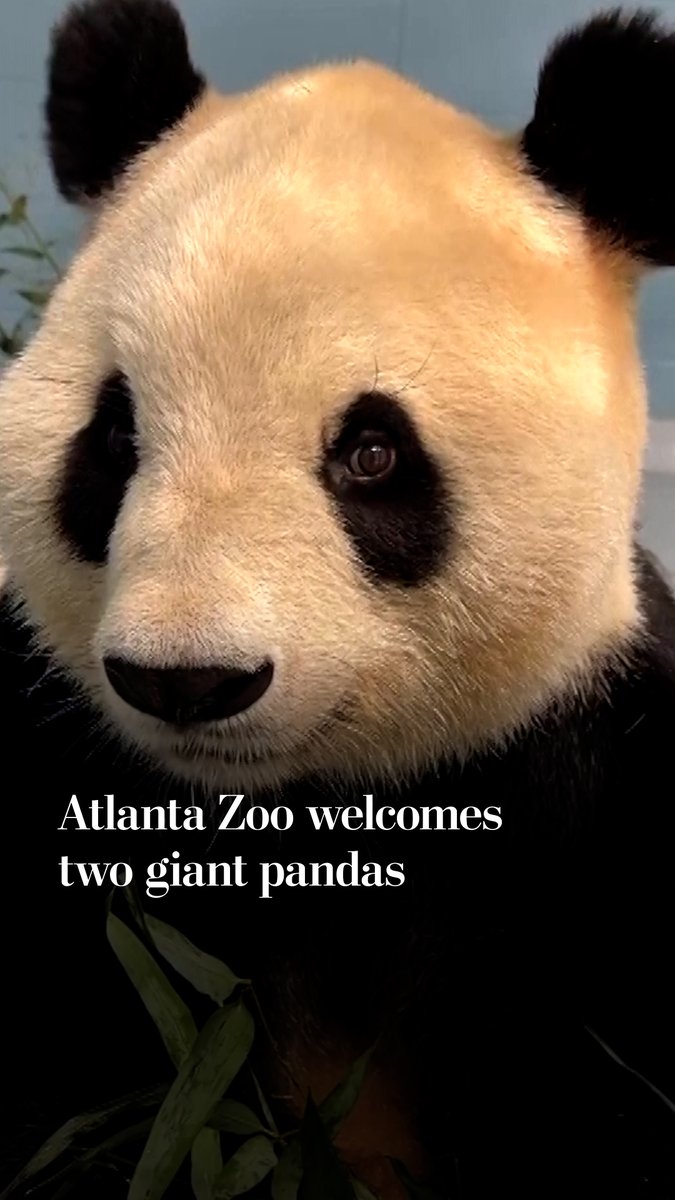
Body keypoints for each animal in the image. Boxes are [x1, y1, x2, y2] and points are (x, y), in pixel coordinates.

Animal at [1, 0, 675, 1196]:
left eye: (370, 453)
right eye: (116, 436)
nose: (187, 681)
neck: (316, 807)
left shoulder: (589, 783)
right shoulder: (66, 781)